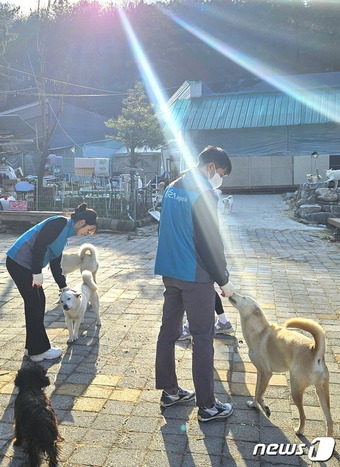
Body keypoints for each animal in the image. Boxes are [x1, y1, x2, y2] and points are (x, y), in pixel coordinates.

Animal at [228, 294, 332, 436]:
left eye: (243, 297)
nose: (231, 294)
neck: (259, 331)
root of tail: (315, 350)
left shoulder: (267, 374)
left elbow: (260, 395)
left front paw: (265, 407)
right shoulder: (260, 373)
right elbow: (256, 392)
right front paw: (254, 404)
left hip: (296, 390)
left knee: (303, 415)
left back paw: (299, 430)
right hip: (322, 392)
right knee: (330, 420)